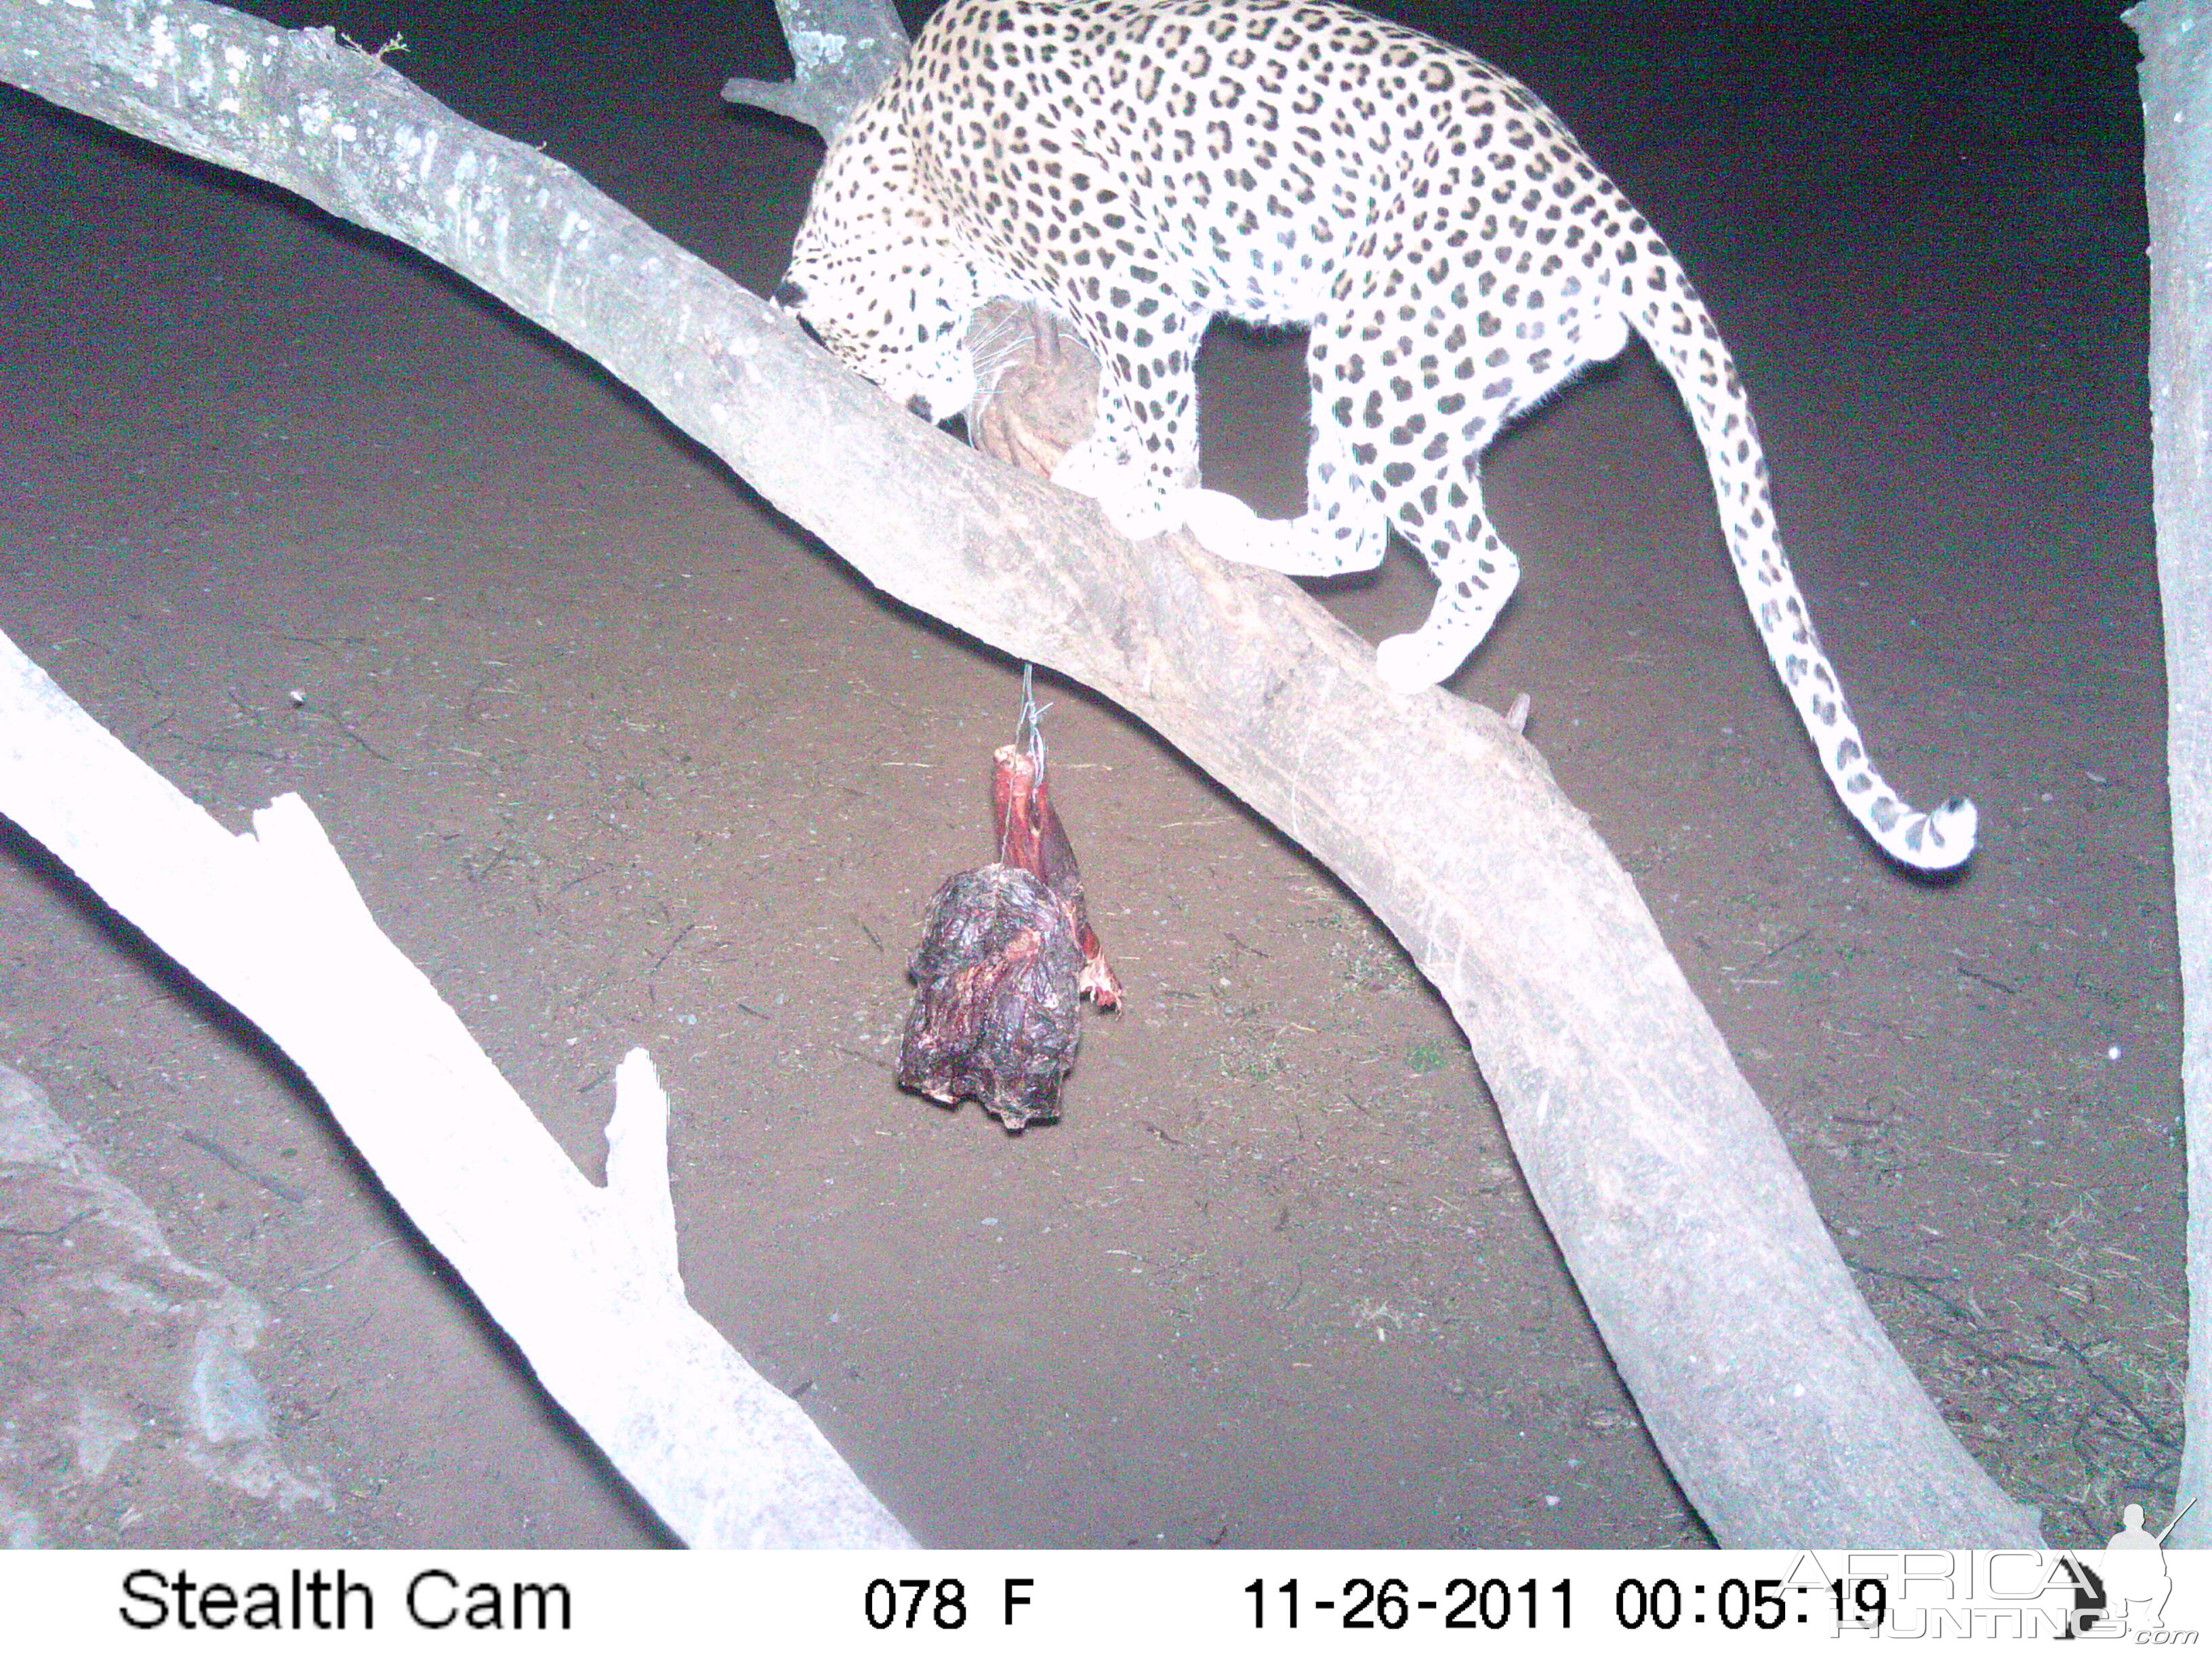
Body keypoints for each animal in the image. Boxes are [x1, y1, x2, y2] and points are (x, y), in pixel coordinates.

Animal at [769, 0, 1982, 872]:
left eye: (872, 356)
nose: (912, 410)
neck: (913, 160)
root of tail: (1605, 204)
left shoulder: (1142, 283)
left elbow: (1155, 399)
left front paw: (1139, 493)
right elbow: (1123, 399)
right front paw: (1117, 462)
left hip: (1373, 347)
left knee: (1485, 559)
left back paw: (1412, 655)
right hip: (1396, 365)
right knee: (1358, 534)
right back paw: (1239, 529)